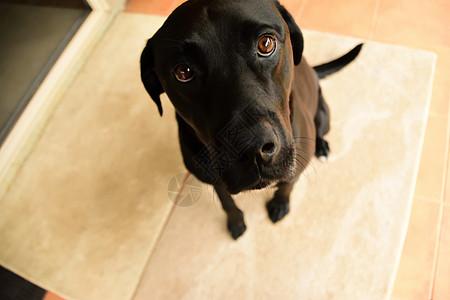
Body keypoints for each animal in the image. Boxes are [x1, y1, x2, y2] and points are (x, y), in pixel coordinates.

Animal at [141, 0, 362, 239]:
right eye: (183, 72)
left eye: (266, 43)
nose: (252, 147)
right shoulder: (213, 179)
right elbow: (226, 202)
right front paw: (236, 222)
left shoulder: (295, 165)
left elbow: (287, 185)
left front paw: (279, 204)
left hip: (323, 116)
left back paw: (322, 146)